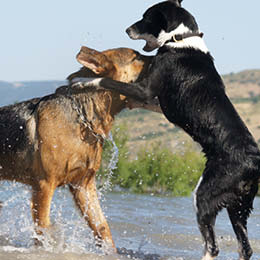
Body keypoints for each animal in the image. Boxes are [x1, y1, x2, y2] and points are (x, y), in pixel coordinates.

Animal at [0, 46, 157, 252]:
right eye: (136, 57)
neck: (83, 115)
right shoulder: (43, 186)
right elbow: (43, 229)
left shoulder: (83, 186)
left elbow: (102, 228)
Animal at [70, 1, 260, 258]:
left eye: (146, 17)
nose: (127, 29)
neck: (179, 40)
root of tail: (253, 161)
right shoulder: (154, 100)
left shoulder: (146, 90)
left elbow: (108, 81)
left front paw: (83, 82)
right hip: (239, 206)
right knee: (245, 248)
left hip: (205, 195)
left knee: (213, 246)